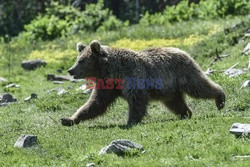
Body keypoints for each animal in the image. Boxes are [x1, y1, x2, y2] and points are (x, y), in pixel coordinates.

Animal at [60, 40, 225, 126]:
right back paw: (185, 113)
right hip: (169, 89)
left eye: (81, 61)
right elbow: (96, 103)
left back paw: (220, 98)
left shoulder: (132, 76)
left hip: (183, 73)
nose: (70, 70)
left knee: (198, 87)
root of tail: (182, 51)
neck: (112, 71)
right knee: (175, 102)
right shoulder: (107, 85)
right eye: (77, 59)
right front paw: (68, 119)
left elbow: (137, 99)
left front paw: (131, 121)